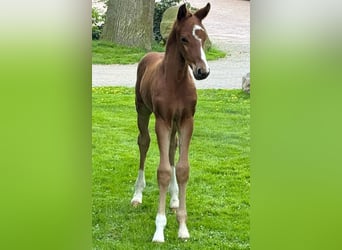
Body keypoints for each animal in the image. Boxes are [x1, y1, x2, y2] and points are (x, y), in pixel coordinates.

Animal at [131, 2, 211, 242]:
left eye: (204, 37)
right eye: (184, 38)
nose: (203, 71)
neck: (175, 81)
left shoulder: (186, 120)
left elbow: (182, 168)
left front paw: (183, 227)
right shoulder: (163, 121)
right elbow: (164, 172)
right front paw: (159, 230)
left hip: (175, 124)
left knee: (172, 149)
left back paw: (174, 200)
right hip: (143, 110)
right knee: (144, 142)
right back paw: (137, 195)